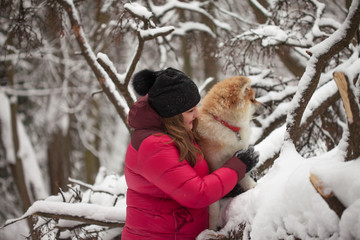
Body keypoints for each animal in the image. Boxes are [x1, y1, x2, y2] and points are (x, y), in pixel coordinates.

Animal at [197, 76, 262, 230]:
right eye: (252, 100)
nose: (265, 106)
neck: (226, 125)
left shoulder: (237, 157)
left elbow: (243, 175)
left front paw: (253, 187)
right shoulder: (213, 166)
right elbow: (213, 204)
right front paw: (212, 226)